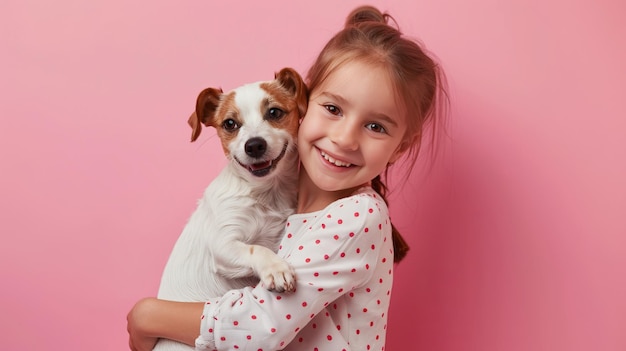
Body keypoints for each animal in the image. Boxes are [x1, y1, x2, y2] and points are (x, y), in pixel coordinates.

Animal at [152, 68, 306, 351]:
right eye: (230, 124)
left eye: (274, 112)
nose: (254, 145)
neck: (266, 194)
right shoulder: (223, 244)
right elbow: (257, 248)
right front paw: (276, 269)